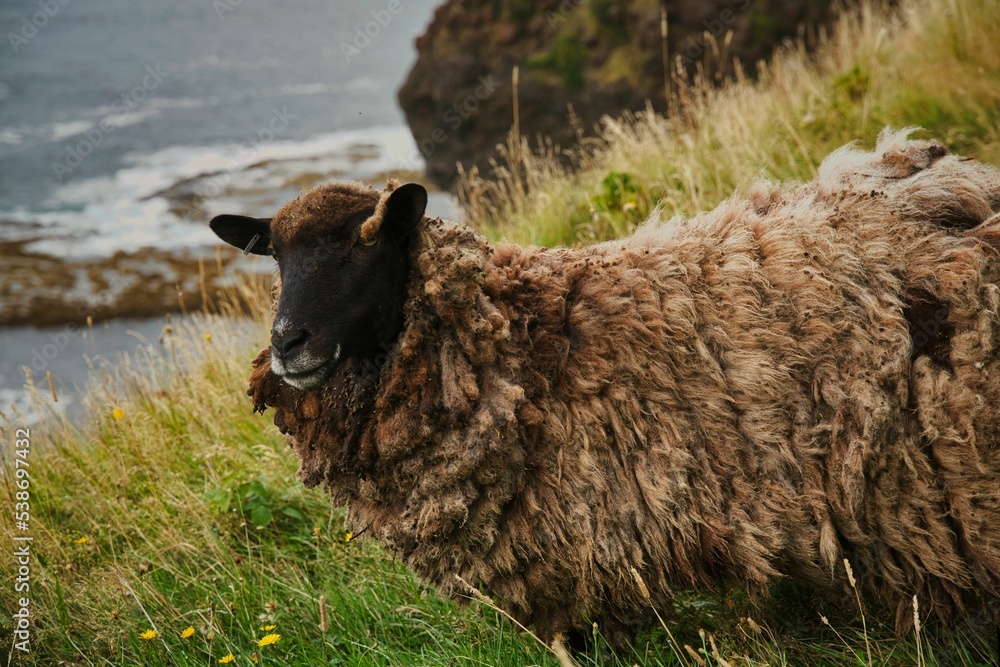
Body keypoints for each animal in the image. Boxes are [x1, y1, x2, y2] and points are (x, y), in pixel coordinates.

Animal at [211, 129, 1000, 647]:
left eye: (365, 243)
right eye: (275, 258)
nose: (288, 344)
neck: (520, 348)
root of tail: (962, 183)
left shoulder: (581, 556)